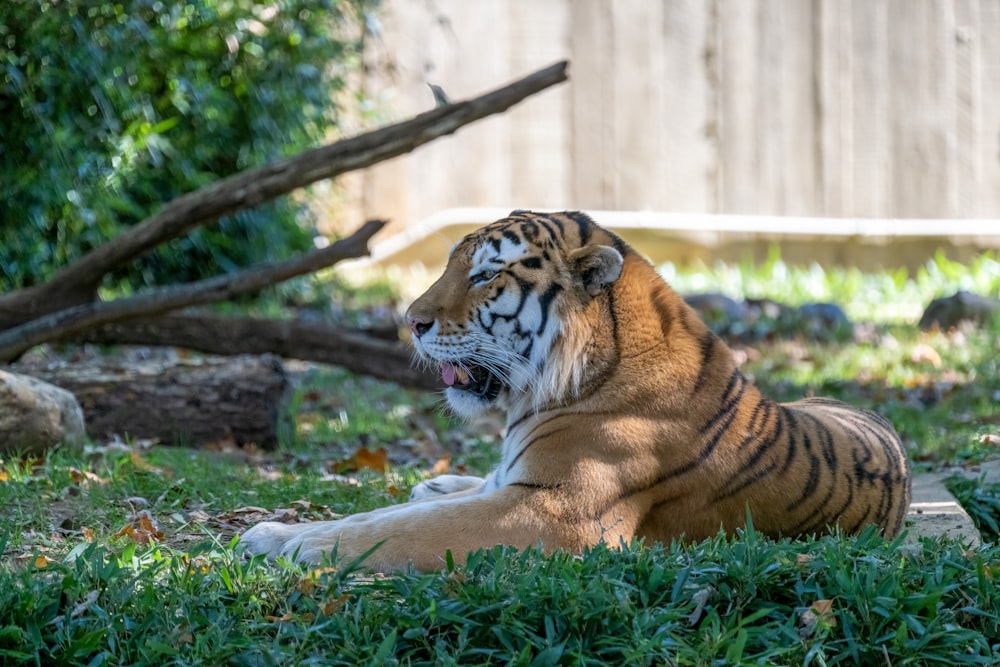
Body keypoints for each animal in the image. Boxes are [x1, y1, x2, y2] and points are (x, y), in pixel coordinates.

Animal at [238, 211, 912, 572]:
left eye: (484, 275)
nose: (410, 321)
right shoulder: (526, 490)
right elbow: (382, 516)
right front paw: (279, 533)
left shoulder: (553, 513)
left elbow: (393, 531)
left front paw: (278, 540)